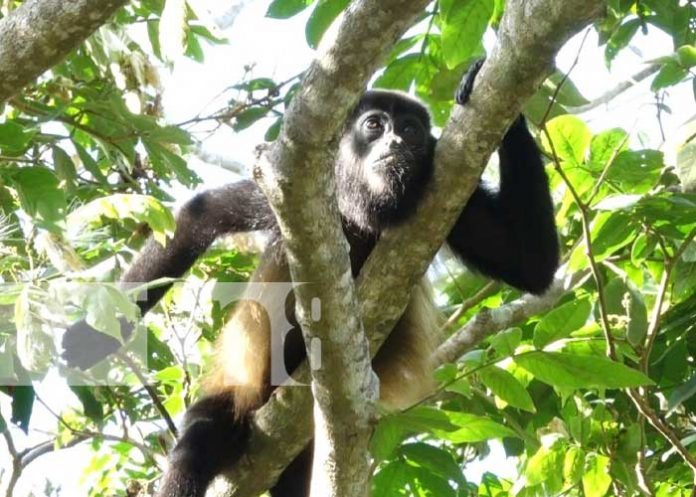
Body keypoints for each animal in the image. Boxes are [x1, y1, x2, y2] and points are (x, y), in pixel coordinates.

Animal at [59, 62, 560, 496]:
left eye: (412, 130)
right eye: (375, 126)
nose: (397, 143)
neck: (361, 212)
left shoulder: (456, 199)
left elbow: (532, 266)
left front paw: (494, 93)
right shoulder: (284, 187)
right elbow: (198, 217)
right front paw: (90, 338)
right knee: (199, 438)